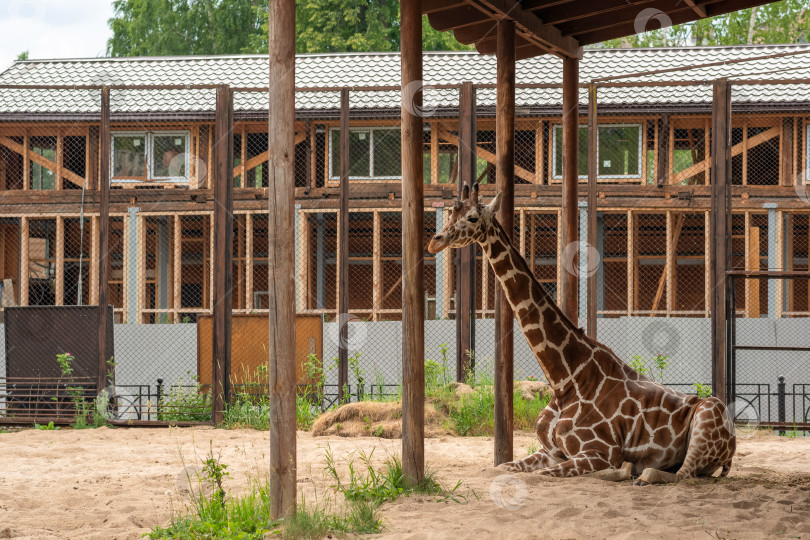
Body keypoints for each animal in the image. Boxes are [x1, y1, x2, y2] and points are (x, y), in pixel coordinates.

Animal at [426, 184, 736, 484]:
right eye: (451, 213)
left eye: (472, 218)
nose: (435, 241)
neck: (564, 381)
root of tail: (732, 443)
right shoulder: (551, 450)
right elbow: (499, 468)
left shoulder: (598, 451)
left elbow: (540, 476)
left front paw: (624, 467)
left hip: (708, 414)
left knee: (678, 475)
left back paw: (635, 472)